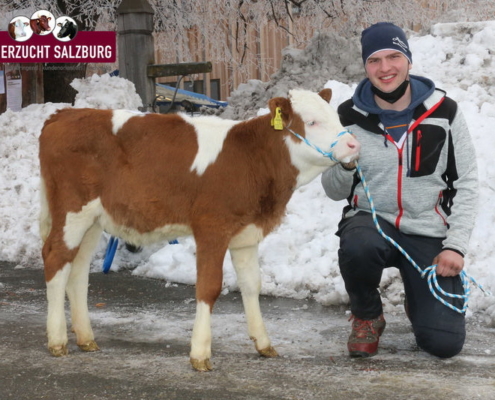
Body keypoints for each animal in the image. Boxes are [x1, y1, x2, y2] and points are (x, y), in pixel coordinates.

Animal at [37, 88, 356, 372]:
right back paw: (57, 340)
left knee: (77, 270)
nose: (354, 144)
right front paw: (200, 353)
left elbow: (252, 285)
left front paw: (263, 343)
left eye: (335, 116)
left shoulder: (246, 233)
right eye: (312, 122)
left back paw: (86, 338)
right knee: (55, 258)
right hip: (72, 211)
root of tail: (63, 114)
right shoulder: (212, 228)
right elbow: (209, 287)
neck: (251, 157)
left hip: (93, 220)